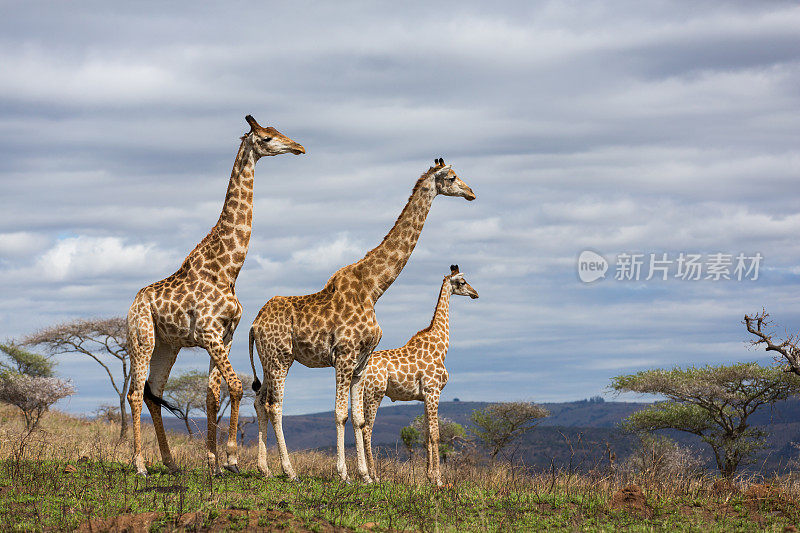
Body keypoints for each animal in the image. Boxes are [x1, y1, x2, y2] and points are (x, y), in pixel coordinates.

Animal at [126, 115, 304, 474]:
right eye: (266, 138)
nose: (298, 147)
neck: (227, 269)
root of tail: (132, 304)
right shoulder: (209, 333)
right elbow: (235, 386)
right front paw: (231, 458)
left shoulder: (226, 335)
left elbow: (213, 396)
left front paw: (213, 463)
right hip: (142, 338)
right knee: (136, 394)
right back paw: (139, 464)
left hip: (168, 345)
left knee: (153, 392)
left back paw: (170, 463)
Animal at [360, 264, 478, 484]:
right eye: (463, 282)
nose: (476, 293)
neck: (441, 346)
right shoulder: (433, 391)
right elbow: (436, 434)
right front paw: (438, 479)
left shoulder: (424, 396)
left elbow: (425, 436)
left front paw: (429, 476)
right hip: (375, 394)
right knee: (367, 429)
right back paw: (374, 476)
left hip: (363, 394)